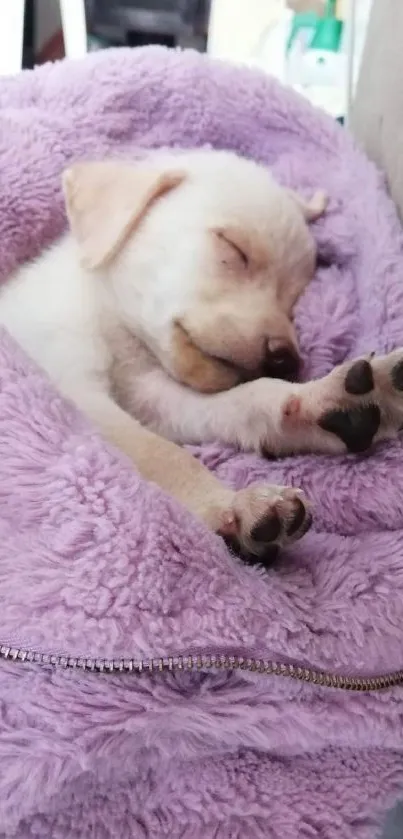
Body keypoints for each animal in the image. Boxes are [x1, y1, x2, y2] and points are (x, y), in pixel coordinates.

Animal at [0, 149, 403, 564]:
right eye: (234, 249)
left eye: (294, 298)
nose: (286, 360)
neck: (117, 328)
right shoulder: (71, 387)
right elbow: (157, 453)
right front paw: (229, 505)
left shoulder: (153, 398)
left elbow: (241, 401)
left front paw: (318, 404)